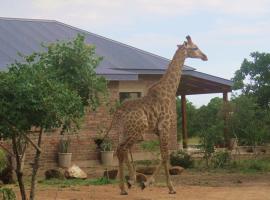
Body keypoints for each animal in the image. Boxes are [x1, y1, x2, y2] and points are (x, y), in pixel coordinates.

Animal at [109, 36, 207, 195]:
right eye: (195, 48)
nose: (205, 56)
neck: (168, 92)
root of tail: (119, 112)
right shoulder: (165, 127)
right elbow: (165, 156)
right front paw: (168, 187)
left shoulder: (158, 131)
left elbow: (162, 155)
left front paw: (147, 183)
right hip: (137, 130)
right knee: (122, 150)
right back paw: (124, 187)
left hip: (124, 131)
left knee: (120, 150)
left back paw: (128, 183)